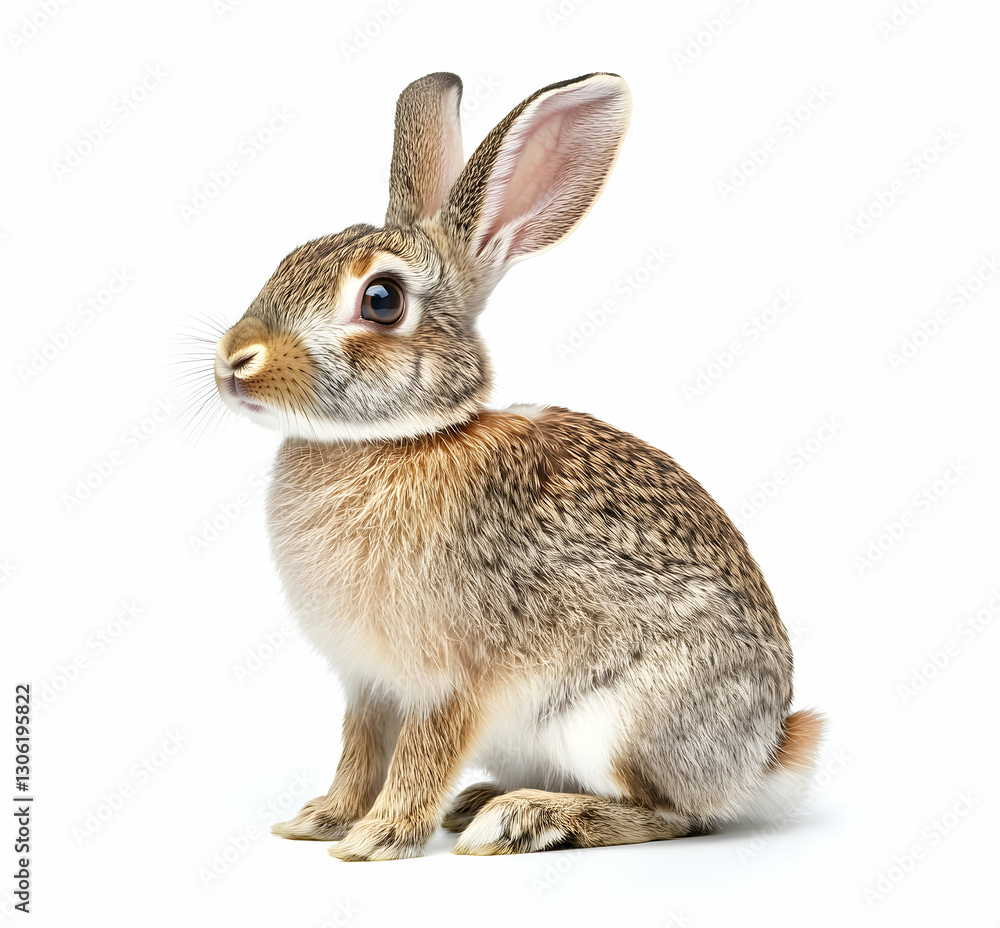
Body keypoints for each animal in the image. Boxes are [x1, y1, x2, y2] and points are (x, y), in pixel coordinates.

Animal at [213, 71, 825, 861]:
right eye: (292, 254)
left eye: (381, 300)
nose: (235, 360)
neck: (398, 439)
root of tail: (765, 758)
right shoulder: (367, 685)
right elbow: (359, 751)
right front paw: (319, 820)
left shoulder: (449, 679)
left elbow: (419, 756)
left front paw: (376, 840)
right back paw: (481, 801)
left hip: (621, 720)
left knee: (672, 813)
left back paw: (527, 818)